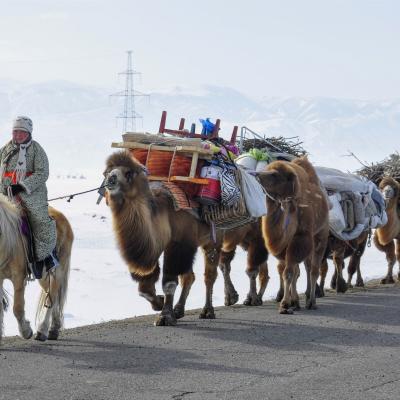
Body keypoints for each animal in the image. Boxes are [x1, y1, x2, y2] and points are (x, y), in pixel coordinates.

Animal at [0, 192, 73, 342]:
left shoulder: (19, 277)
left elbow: (18, 308)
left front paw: (26, 331)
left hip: (57, 271)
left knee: (52, 296)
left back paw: (42, 330)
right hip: (43, 276)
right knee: (51, 295)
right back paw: (54, 328)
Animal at [104, 152, 227, 326]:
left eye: (128, 173)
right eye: (107, 172)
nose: (111, 179)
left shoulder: (176, 244)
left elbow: (169, 283)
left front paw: (165, 316)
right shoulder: (155, 245)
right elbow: (144, 288)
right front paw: (159, 303)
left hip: (213, 237)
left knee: (209, 275)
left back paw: (207, 311)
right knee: (189, 276)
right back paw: (179, 310)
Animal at [258, 156, 330, 312]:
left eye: (275, 174)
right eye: (267, 169)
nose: (258, 175)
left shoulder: (299, 239)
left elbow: (290, 272)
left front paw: (285, 304)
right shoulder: (285, 246)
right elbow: (292, 271)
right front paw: (293, 302)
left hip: (320, 236)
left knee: (314, 269)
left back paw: (312, 302)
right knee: (306, 267)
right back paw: (304, 298)